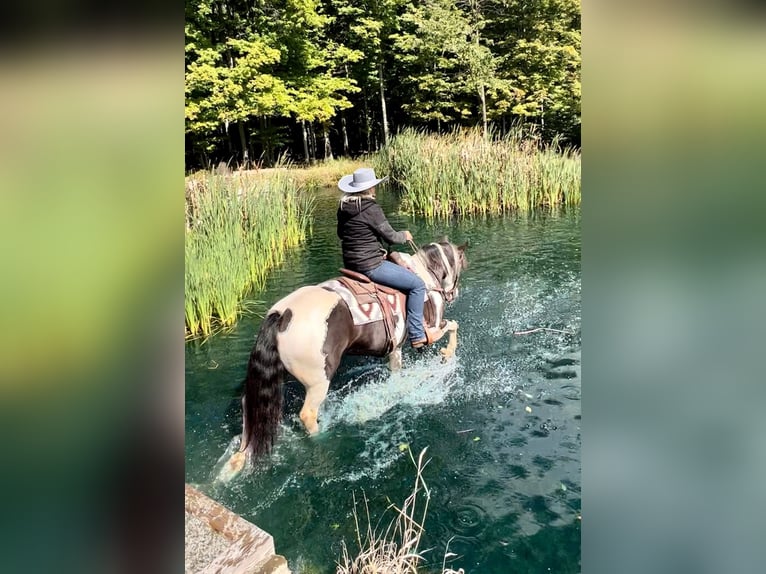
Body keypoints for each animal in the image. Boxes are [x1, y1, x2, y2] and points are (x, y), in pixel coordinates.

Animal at [222, 238, 468, 476]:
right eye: (460, 263)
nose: (454, 293)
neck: (426, 276)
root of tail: (282, 316)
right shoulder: (432, 329)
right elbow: (453, 326)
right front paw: (447, 354)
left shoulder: (395, 349)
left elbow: (396, 373)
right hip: (318, 381)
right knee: (307, 414)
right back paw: (322, 437)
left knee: (250, 408)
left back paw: (236, 462)